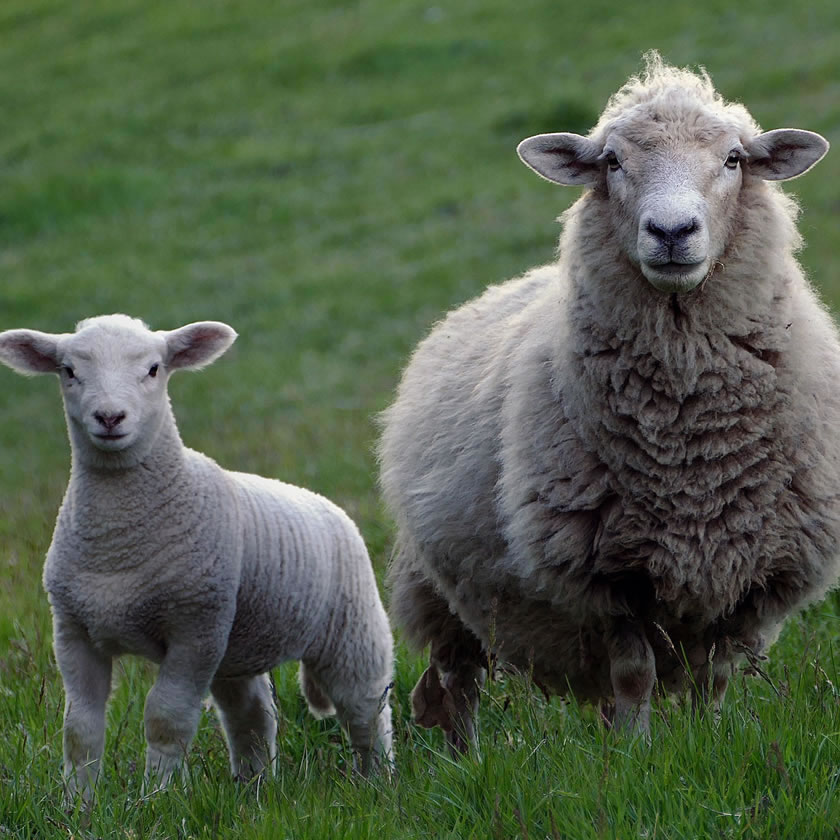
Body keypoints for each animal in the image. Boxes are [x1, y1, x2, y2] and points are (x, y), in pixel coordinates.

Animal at [0, 314, 393, 801]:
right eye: (68, 371)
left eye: (153, 369)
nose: (109, 417)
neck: (117, 545)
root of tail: (326, 504)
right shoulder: (73, 630)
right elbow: (80, 727)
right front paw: (78, 803)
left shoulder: (194, 628)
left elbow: (166, 718)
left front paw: (155, 798)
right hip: (237, 644)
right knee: (252, 715)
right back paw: (253, 787)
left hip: (351, 629)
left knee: (366, 708)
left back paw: (378, 782)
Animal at [379, 52, 840, 752]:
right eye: (613, 162)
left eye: (734, 159)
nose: (672, 231)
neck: (688, 441)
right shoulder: (606, 575)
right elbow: (633, 673)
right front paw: (637, 754)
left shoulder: (752, 575)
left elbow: (714, 678)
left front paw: (704, 743)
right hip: (438, 587)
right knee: (454, 682)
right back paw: (465, 760)